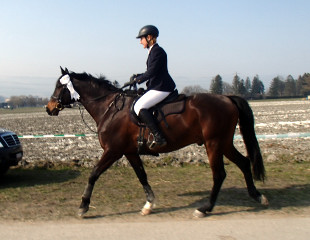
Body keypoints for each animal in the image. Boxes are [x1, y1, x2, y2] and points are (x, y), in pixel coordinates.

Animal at [44, 67, 268, 218]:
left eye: (59, 86)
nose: (49, 108)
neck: (110, 108)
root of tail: (227, 98)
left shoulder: (113, 150)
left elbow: (93, 174)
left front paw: (83, 206)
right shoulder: (130, 152)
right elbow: (141, 176)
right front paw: (149, 204)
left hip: (213, 144)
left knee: (219, 174)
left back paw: (205, 209)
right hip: (224, 143)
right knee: (244, 162)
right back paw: (257, 196)